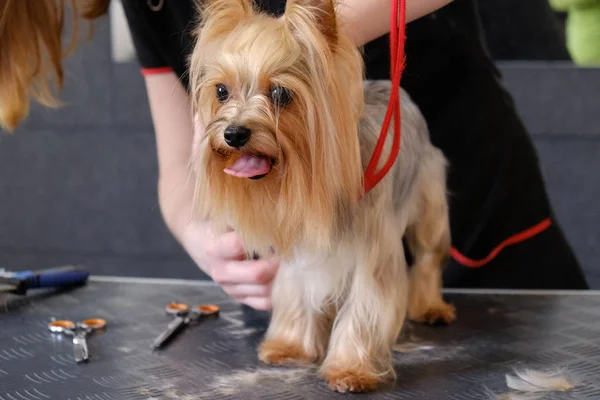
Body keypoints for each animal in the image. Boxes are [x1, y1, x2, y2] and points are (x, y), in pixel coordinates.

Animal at [188, 0, 454, 394]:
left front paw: (351, 369)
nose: (234, 133)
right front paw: (290, 347)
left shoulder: (373, 254)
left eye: (281, 94)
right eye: (221, 91)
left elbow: (365, 306)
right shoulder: (299, 249)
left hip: (428, 195)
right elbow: (297, 293)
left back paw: (431, 308)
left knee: (427, 257)